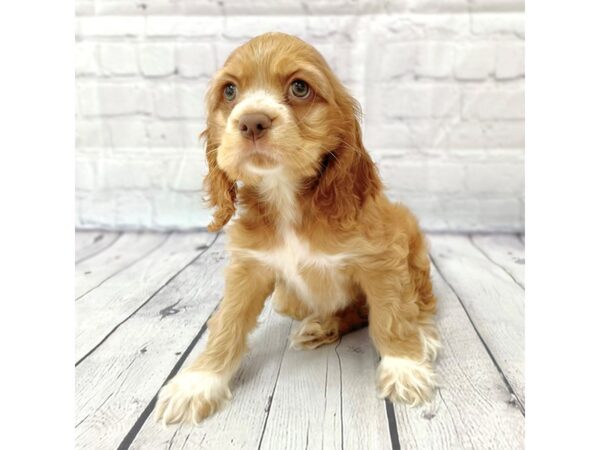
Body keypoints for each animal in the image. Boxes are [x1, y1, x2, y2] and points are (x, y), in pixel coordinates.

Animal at [152, 31, 438, 426]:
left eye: (300, 87)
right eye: (230, 91)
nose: (252, 121)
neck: (286, 199)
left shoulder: (381, 260)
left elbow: (391, 315)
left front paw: (404, 366)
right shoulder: (248, 268)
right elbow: (227, 323)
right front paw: (199, 382)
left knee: (417, 302)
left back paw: (423, 335)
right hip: (289, 299)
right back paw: (323, 325)